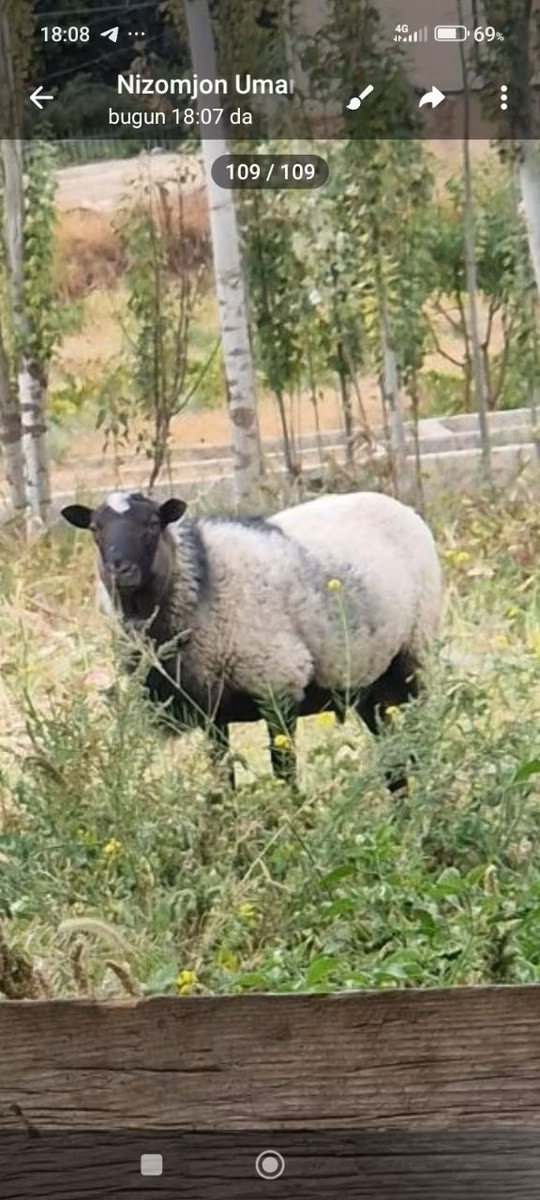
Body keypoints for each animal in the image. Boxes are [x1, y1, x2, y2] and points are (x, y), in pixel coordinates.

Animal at [60, 488, 442, 793]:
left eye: (153, 524)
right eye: (95, 529)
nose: (120, 570)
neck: (202, 581)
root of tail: (397, 505)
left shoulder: (278, 688)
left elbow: (285, 777)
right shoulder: (212, 715)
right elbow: (223, 780)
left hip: (414, 656)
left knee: (420, 737)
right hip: (369, 678)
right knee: (393, 752)